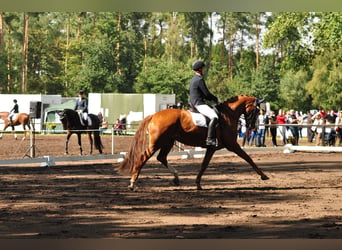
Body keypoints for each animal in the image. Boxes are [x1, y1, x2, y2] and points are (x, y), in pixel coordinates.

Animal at [118, 94, 270, 190]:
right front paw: (264, 175)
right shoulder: (232, 144)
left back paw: (176, 178)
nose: (253, 127)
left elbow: (204, 165)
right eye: (257, 111)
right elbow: (248, 157)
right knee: (143, 157)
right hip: (157, 143)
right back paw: (132, 183)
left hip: (168, 142)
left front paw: (198, 184)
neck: (228, 115)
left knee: (161, 157)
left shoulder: (212, 148)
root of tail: (154, 115)